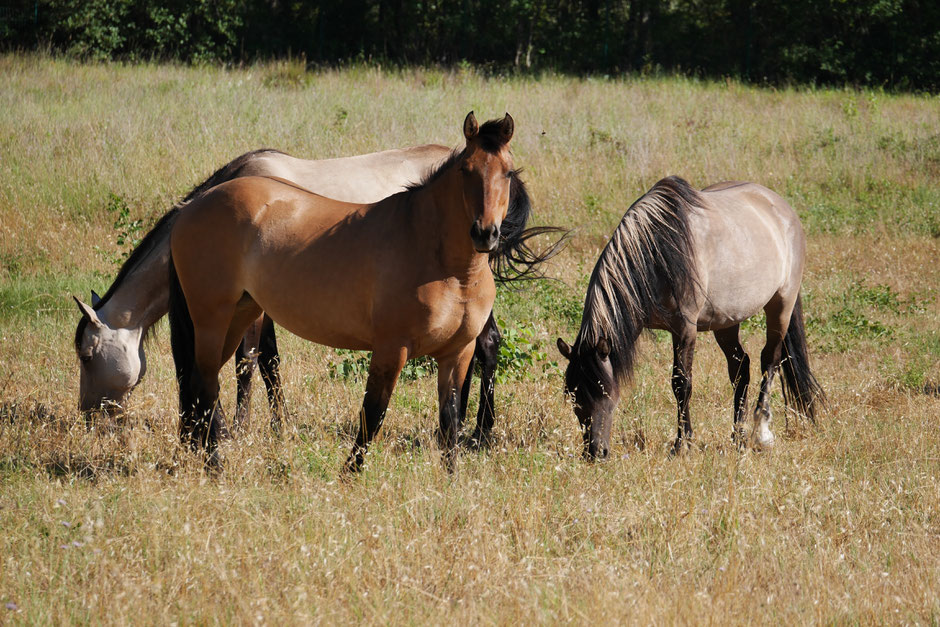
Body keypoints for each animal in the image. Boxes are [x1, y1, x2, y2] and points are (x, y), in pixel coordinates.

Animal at [171, 113, 520, 472]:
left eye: (508, 172)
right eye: (466, 169)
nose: (485, 234)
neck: (447, 266)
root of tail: (191, 207)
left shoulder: (457, 353)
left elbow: (449, 422)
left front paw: (451, 479)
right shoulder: (391, 349)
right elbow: (373, 415)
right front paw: (349, 474)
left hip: (239, 316)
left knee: (200, 382)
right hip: (212, 321)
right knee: (205, 386)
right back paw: (214, 465)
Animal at [556, 178, 828, 462]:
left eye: (605, 392)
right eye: (573, 396)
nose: (595, 452)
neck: (657, 253)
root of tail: (783, 209)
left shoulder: (685, 329)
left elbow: (681, 383)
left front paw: (682, 444)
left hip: (781, 305)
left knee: (770, 361)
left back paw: (761, 434)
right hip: (727, 321)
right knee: (741, 368)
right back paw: (738, 437)